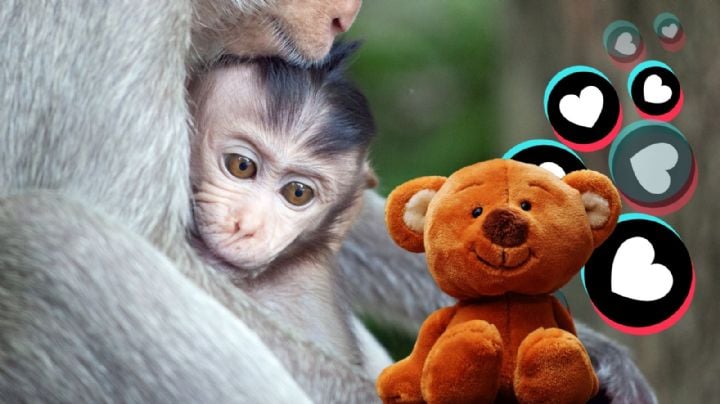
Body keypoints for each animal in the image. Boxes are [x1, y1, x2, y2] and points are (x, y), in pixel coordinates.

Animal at [0, 0, 656, 402]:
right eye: (240, 167)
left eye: (298, 193)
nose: (343, 14)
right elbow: (140, 230)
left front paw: (591, 354)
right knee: (49, 241)